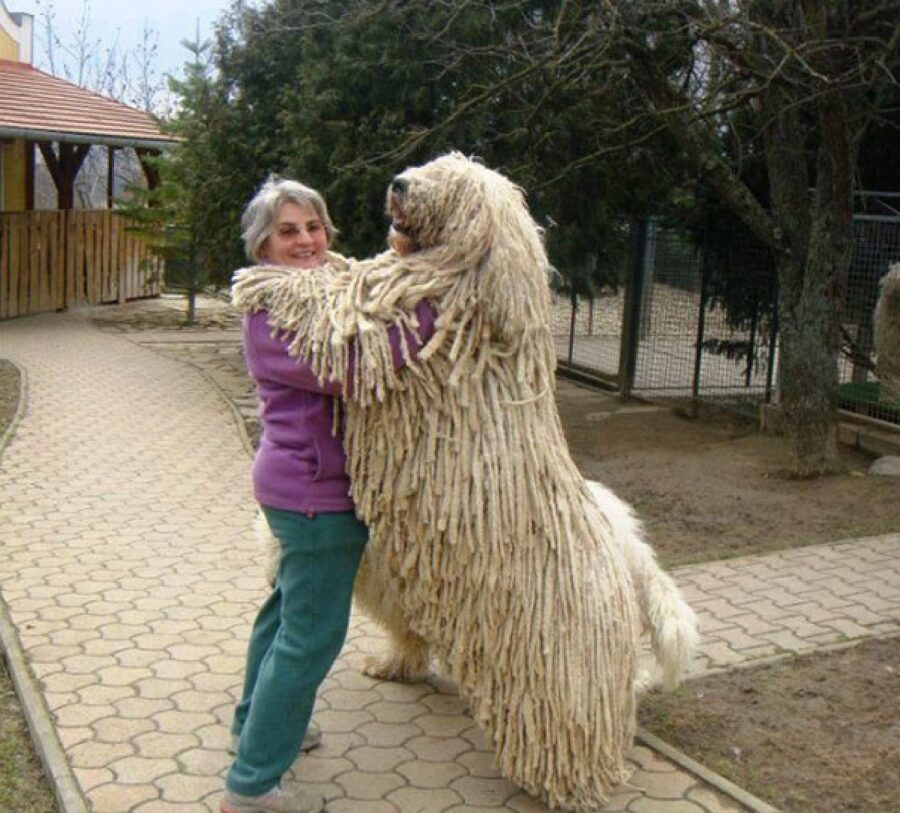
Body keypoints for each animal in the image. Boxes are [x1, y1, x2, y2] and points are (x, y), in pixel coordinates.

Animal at [232, 154, 696, 812]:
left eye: (449, 186)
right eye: (428, 165)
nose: (399, 182)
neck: (472, 291)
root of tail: (623, 549)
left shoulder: (394, 326)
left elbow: (334, 310)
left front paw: (263, 279)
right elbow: (347, 275)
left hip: (558, 670)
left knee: (577, 727)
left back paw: (570, 786)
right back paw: (396, 666)